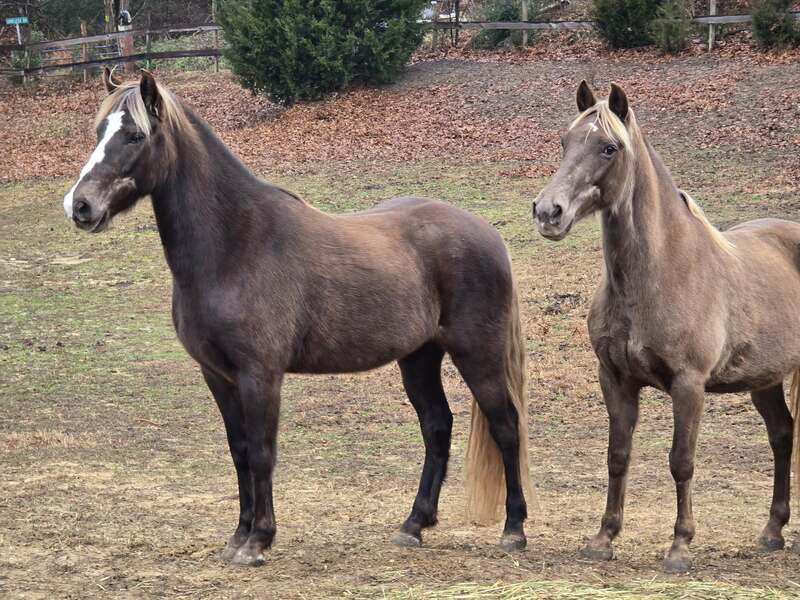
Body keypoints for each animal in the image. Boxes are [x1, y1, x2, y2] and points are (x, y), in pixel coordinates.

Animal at [62, 68, 533, 566]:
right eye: (99, 131)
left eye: (134, 135)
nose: (80, 206)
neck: (236, 245)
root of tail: (488, 235)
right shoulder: (218, 375)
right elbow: (240, 452)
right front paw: (238, 536)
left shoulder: (261, 375)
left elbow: (263, 452)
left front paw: (258, 541)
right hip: (419, 357)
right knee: (437, 427)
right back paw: (413, 526)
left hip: (477, 355)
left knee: (506, 427)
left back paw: (514, 530)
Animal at [532, 80, 800, 573]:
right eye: (564, 142)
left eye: (609, 147)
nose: (548, 212)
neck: (660, 273)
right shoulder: (615, 378)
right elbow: (618, 455)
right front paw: (604, 538)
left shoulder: (688, 385)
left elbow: (682, 460)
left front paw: (680, 546)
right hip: (765, 379)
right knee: (781, 434)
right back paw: (772, 532)